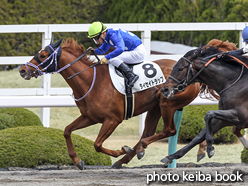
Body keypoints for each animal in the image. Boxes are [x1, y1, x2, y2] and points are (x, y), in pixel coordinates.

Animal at [18, 37, 201, 169]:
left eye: (42, 55)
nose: (22, 70)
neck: (92, 80)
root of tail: (195, 76)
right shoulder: (89, 117)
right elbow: (67, 131)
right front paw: (78, 161)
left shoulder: (113, 119)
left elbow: (97, 144)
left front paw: (120, 150)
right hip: (155, 107)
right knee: (147, 133)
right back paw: (130, 156)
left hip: (167, 104)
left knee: (169, 130)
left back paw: (133, 152)